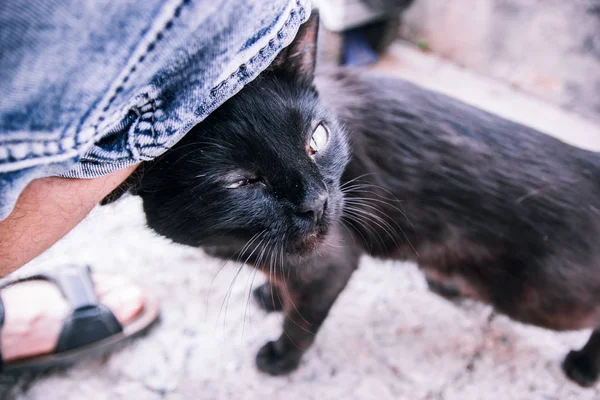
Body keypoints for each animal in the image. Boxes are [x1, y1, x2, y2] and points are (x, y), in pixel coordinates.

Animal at [106, 13, 600, 388]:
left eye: (317, 138)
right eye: (241, 181)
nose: (316, 203)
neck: (233, 241)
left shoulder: (332, 263)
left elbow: (301, 322)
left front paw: (281, 359)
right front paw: (272, 293)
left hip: (544, 297)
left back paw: (583, 367)